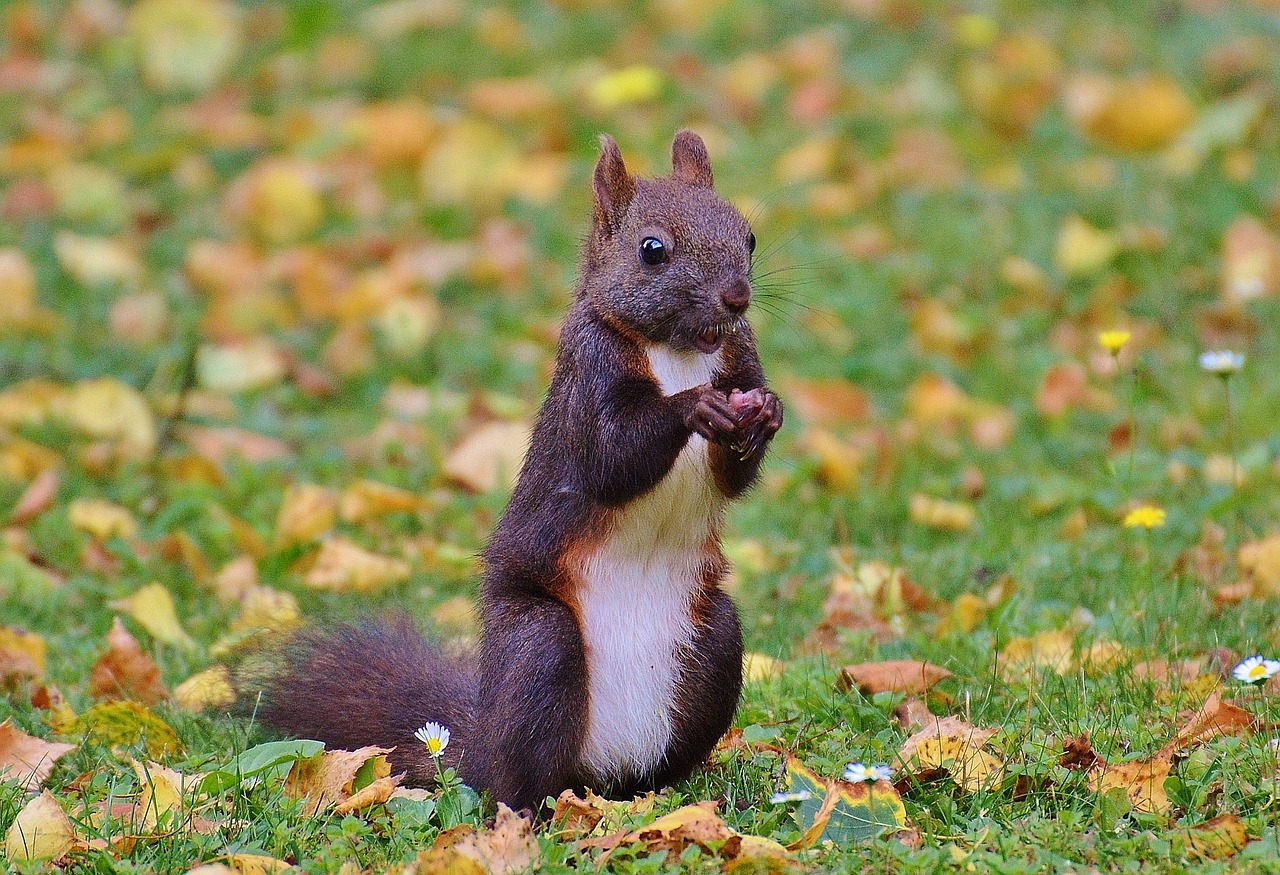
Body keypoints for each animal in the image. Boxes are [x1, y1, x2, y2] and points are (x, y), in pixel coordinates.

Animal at [258, 129, 778, 813]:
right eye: (652, 250)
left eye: (749, 235)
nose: (736, 297)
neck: (682, 351)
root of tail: (596, 774)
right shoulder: (586, 380)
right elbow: (611, 458)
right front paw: (694, 407)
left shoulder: (738, 357)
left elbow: (732, 475)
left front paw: (765, 414)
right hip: (539, 649)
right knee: (517, 776)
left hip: (713, 642)